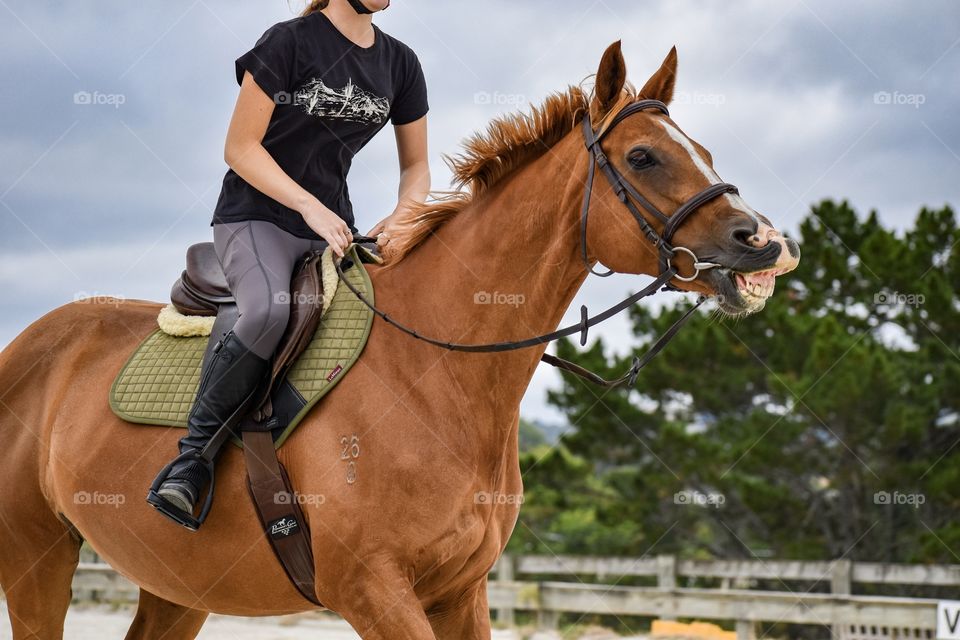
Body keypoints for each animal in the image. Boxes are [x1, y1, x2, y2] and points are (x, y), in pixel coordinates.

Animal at [0, 42, 796, 636]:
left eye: (703, 149)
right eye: (643, 158)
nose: (763, 244)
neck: (435, 372)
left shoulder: (460, 592)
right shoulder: (376, 592)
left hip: (176, 588)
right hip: (35, 561)